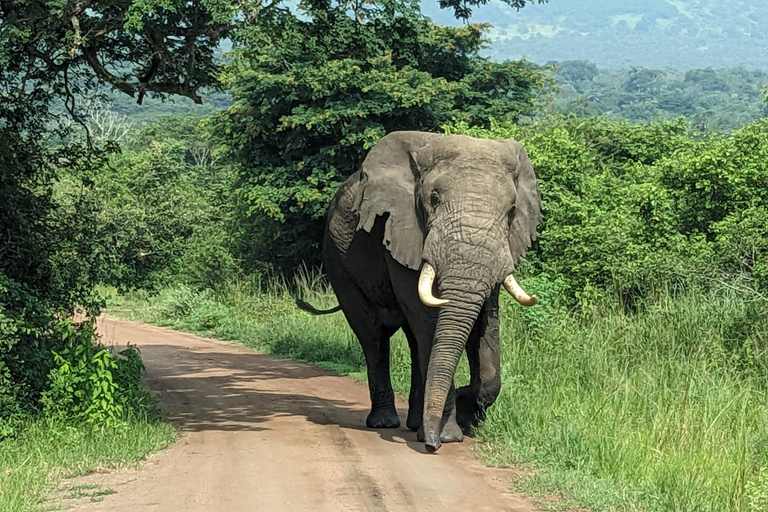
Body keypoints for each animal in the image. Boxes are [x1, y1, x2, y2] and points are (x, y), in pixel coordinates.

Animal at [296, 131, 544, 452]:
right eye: (434, 199)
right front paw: (448, 434)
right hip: (337, 260)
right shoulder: (401, 228)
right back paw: (386, 422)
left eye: (512, 210)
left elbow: (485, 324)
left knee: (414, 342)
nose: (431, 446)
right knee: (373, 337)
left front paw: (465, 414)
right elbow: (428, 319)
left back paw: (415, 423)